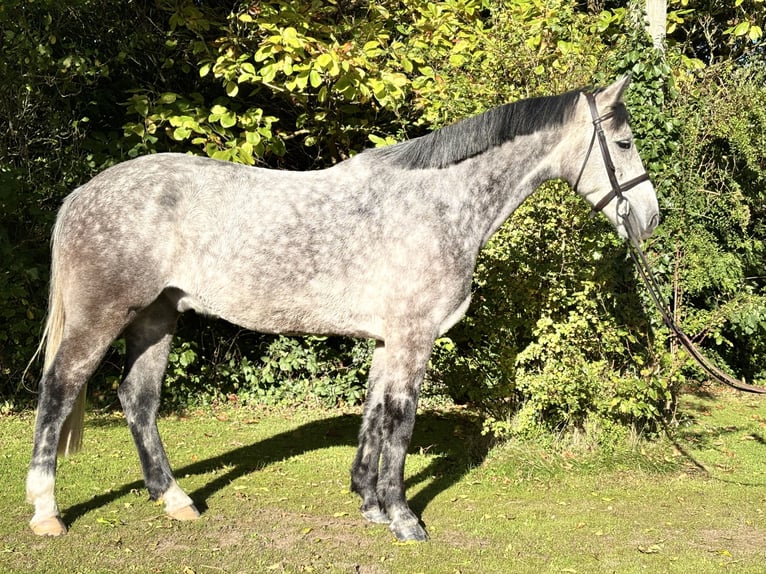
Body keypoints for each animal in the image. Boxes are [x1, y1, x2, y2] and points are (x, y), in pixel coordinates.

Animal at [26, 76, 659, 541]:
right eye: (625, 144)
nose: (650, 218)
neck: (439, 204)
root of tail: (82, 194)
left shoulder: (385, 339)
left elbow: (374, 415)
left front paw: (369, 503)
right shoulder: (412, 336)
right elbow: (401, 421)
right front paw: (403, 519)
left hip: (158, 318)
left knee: (138, 399)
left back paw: (175, 499)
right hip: (104, 316)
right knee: (58, 390)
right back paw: (46, 511)